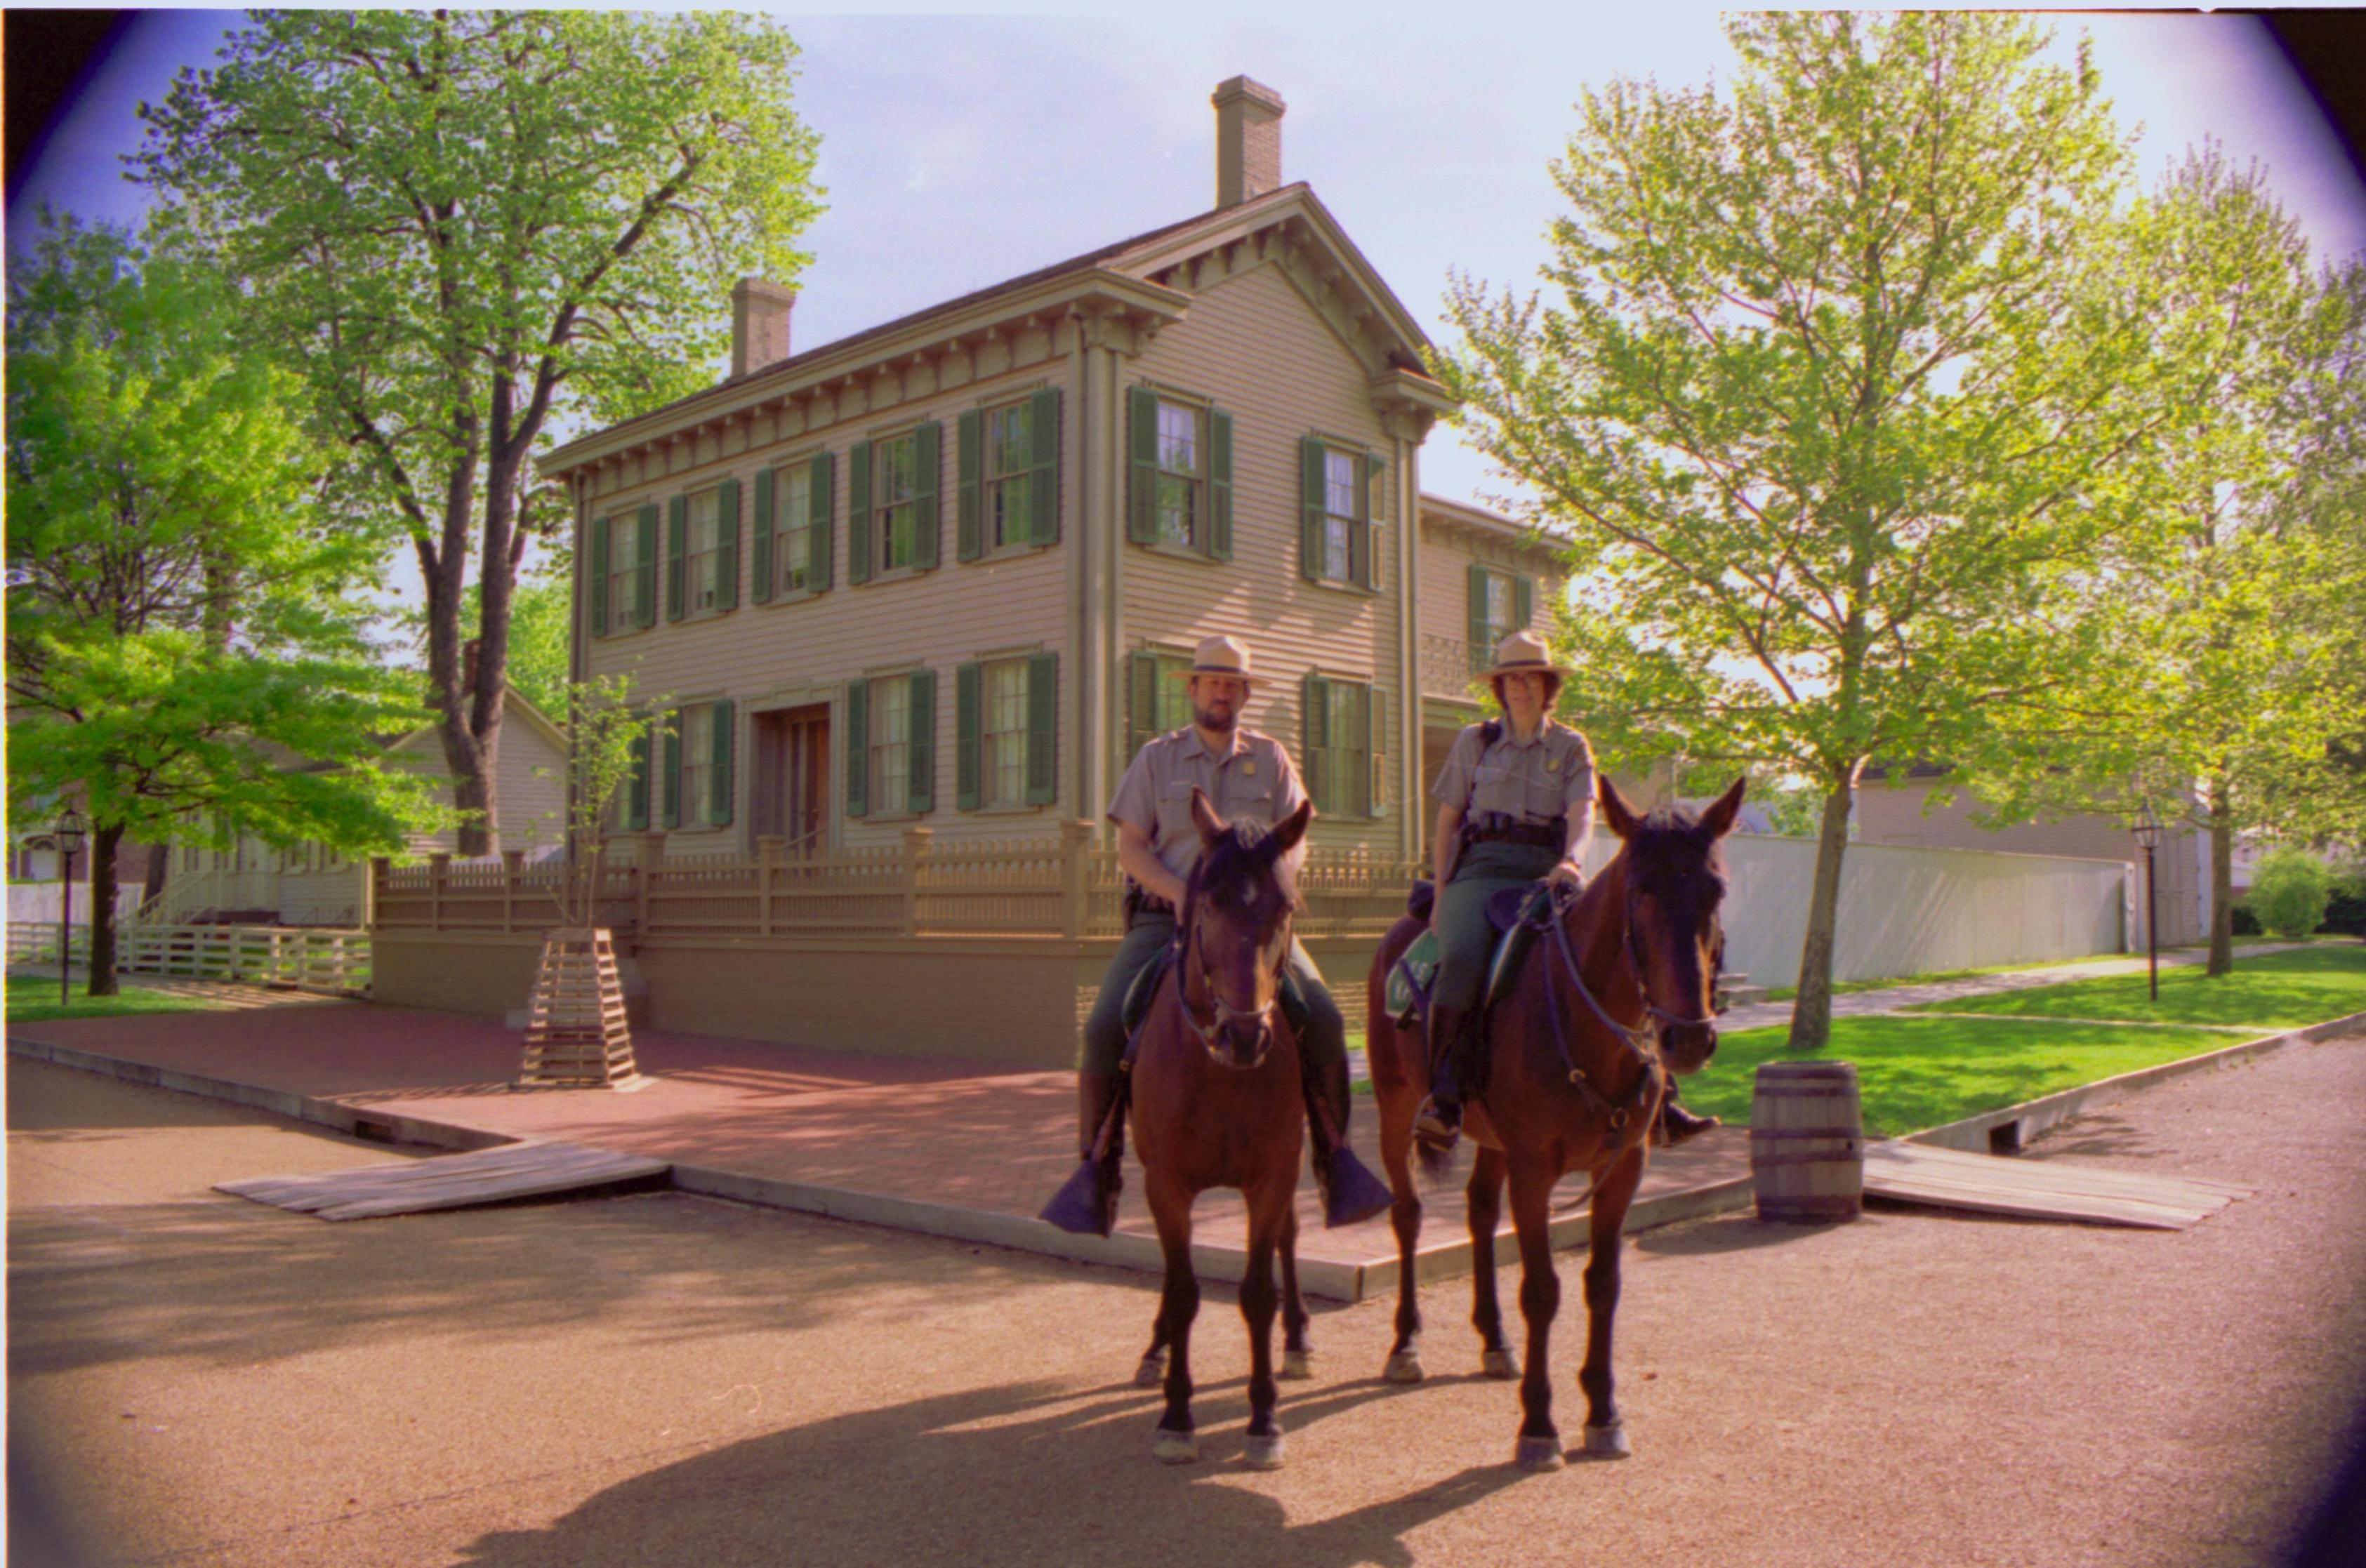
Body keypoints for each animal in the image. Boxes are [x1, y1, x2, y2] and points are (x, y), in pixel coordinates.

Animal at [1121, 790, 1315, 1466]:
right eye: (1210, 903)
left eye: (1285, 907)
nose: (1245, 1035)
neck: (1217, 1068)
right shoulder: (1167, 1184)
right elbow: (1182, 1291)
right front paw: (1177, 1418)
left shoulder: (1273, 1178)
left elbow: (1258, 1292)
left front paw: (1264, 1422)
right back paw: (1153, 1352)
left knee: (1288, 1239)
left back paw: (1299, 1341)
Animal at [1372, 771, 1741, 1475]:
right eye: (1640, 889)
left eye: (1717, 889)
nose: (1687, 1039)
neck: (1581, 1018)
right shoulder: (1535, 1172)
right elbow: (1542, 1290)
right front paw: (1539, 1425)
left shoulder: (1623, 1170)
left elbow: (1603, 1284)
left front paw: (1603, 1413)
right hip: (1395, 1108)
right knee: (1407, 1216)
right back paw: (1405, 1344)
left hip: (1491, 1140)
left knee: (1478, 1210)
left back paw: (1494, 1340)